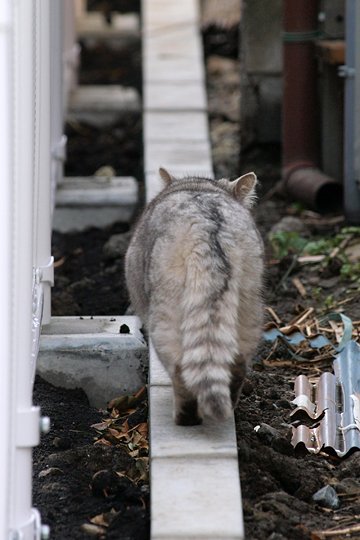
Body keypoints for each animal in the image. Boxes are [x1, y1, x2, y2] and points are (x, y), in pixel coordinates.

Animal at [125, 169, 262, 426]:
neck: (199, 185)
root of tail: (207, 225)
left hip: (165, 315)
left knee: (180, 368)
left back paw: (185, 417)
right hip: (250, 305)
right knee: (238, 363)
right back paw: (228, 408)